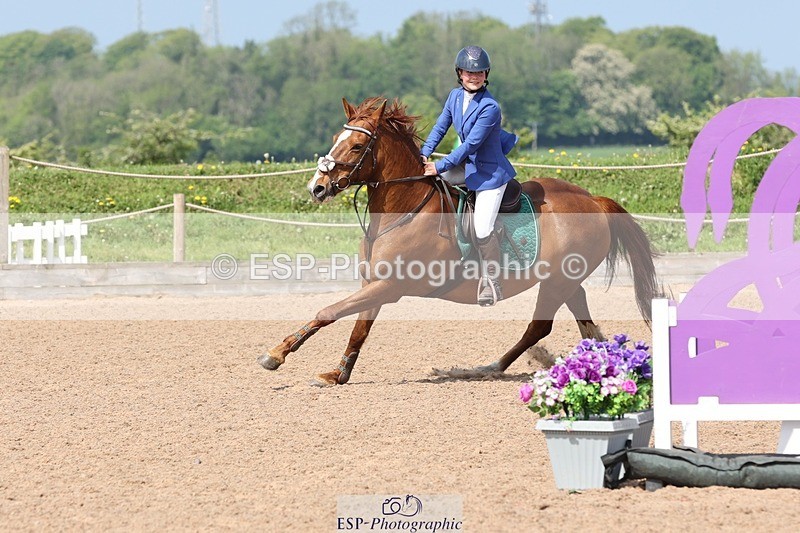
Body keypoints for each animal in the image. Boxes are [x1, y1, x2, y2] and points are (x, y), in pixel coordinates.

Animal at [258, 97, 661, 385]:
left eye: (357, 147)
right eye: (335, 141)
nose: (317, 188)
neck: (402, 209)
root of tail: (592, 199)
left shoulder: (391, 285)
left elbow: (329, 311)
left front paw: (276, 354)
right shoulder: (376, 283)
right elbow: (358, 327)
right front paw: (338, 373)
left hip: (558, 281)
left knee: (540, 327)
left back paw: (488, 368)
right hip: (566, 280)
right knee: (583, 324)